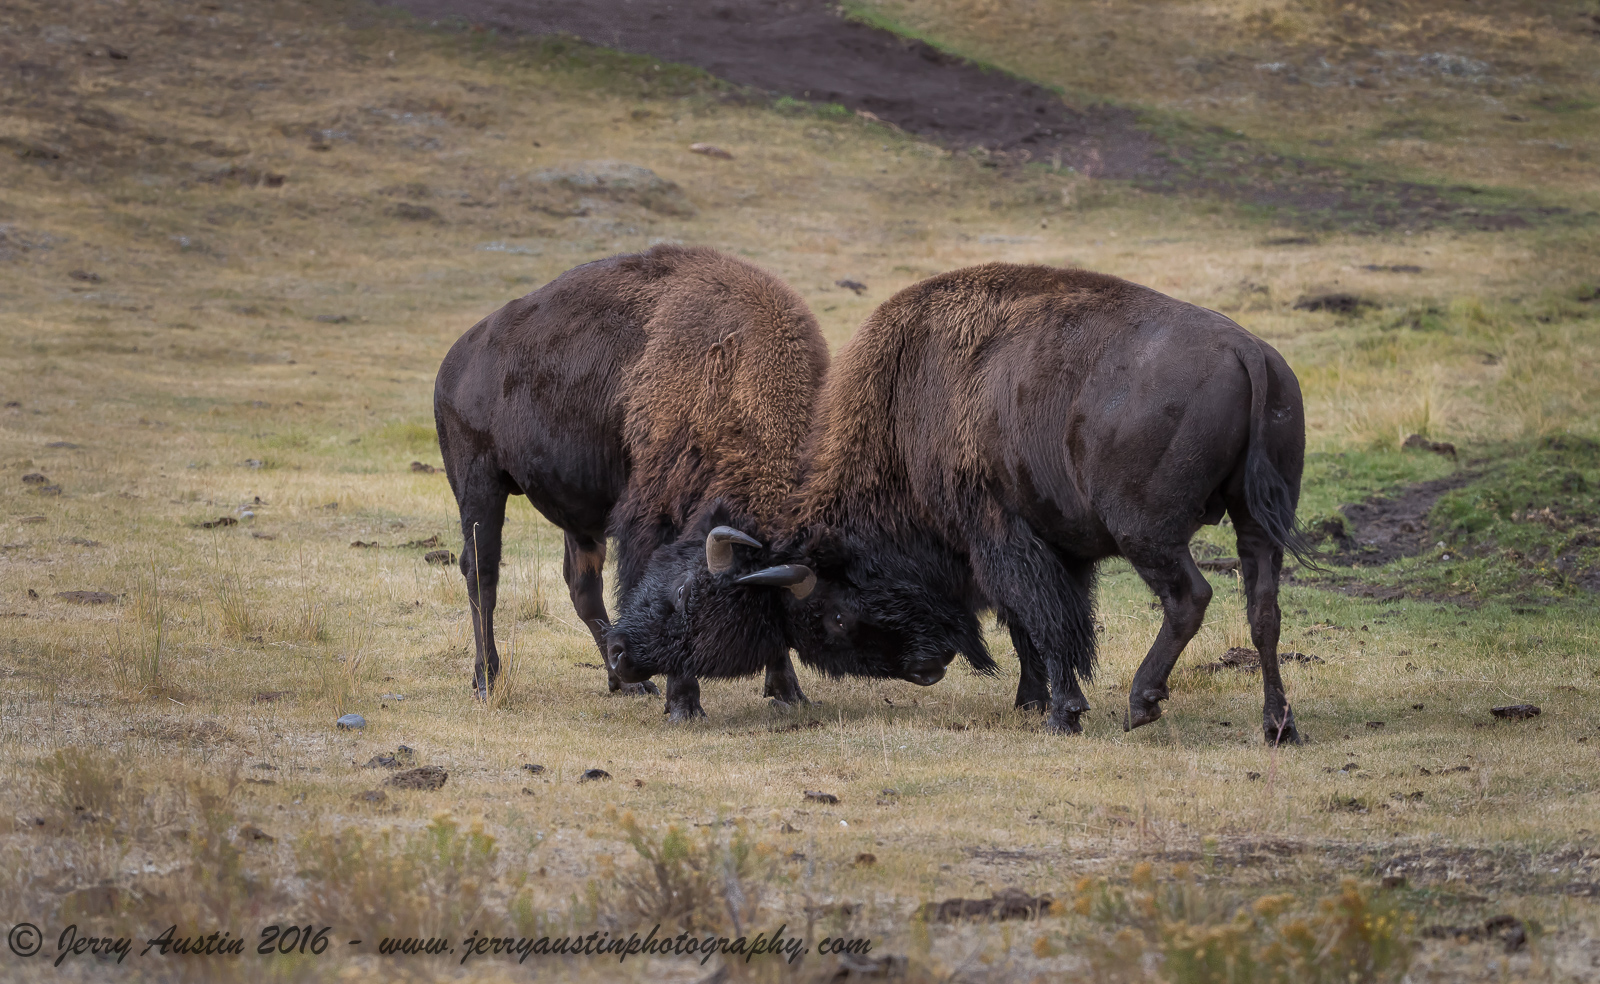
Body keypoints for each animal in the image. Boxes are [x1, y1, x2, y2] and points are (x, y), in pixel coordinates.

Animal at [434, 245, 828, 701]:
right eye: (686, 596)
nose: (630, 660)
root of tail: (454, 361)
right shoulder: (651, 512)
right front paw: (684, 694)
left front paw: (788, 691)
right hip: (479, 485)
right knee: (481, 571)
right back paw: (488, 678)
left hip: (578, 514)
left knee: (581, 586)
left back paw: (624, 683)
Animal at [611, 263, 1313, 743]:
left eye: (833, 615)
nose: (929, 666)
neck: (907, 411)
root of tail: (1248, 353)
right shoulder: (1051, 546)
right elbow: (1037, 623)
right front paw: (1034, 700)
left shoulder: (1001, 535)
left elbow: (1045, 619)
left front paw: (1062, 713)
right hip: (1256, 525)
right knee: (1264, 610)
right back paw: (1278, 725)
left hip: (1150, 535)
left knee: (1190, 597)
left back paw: (1143, 703)